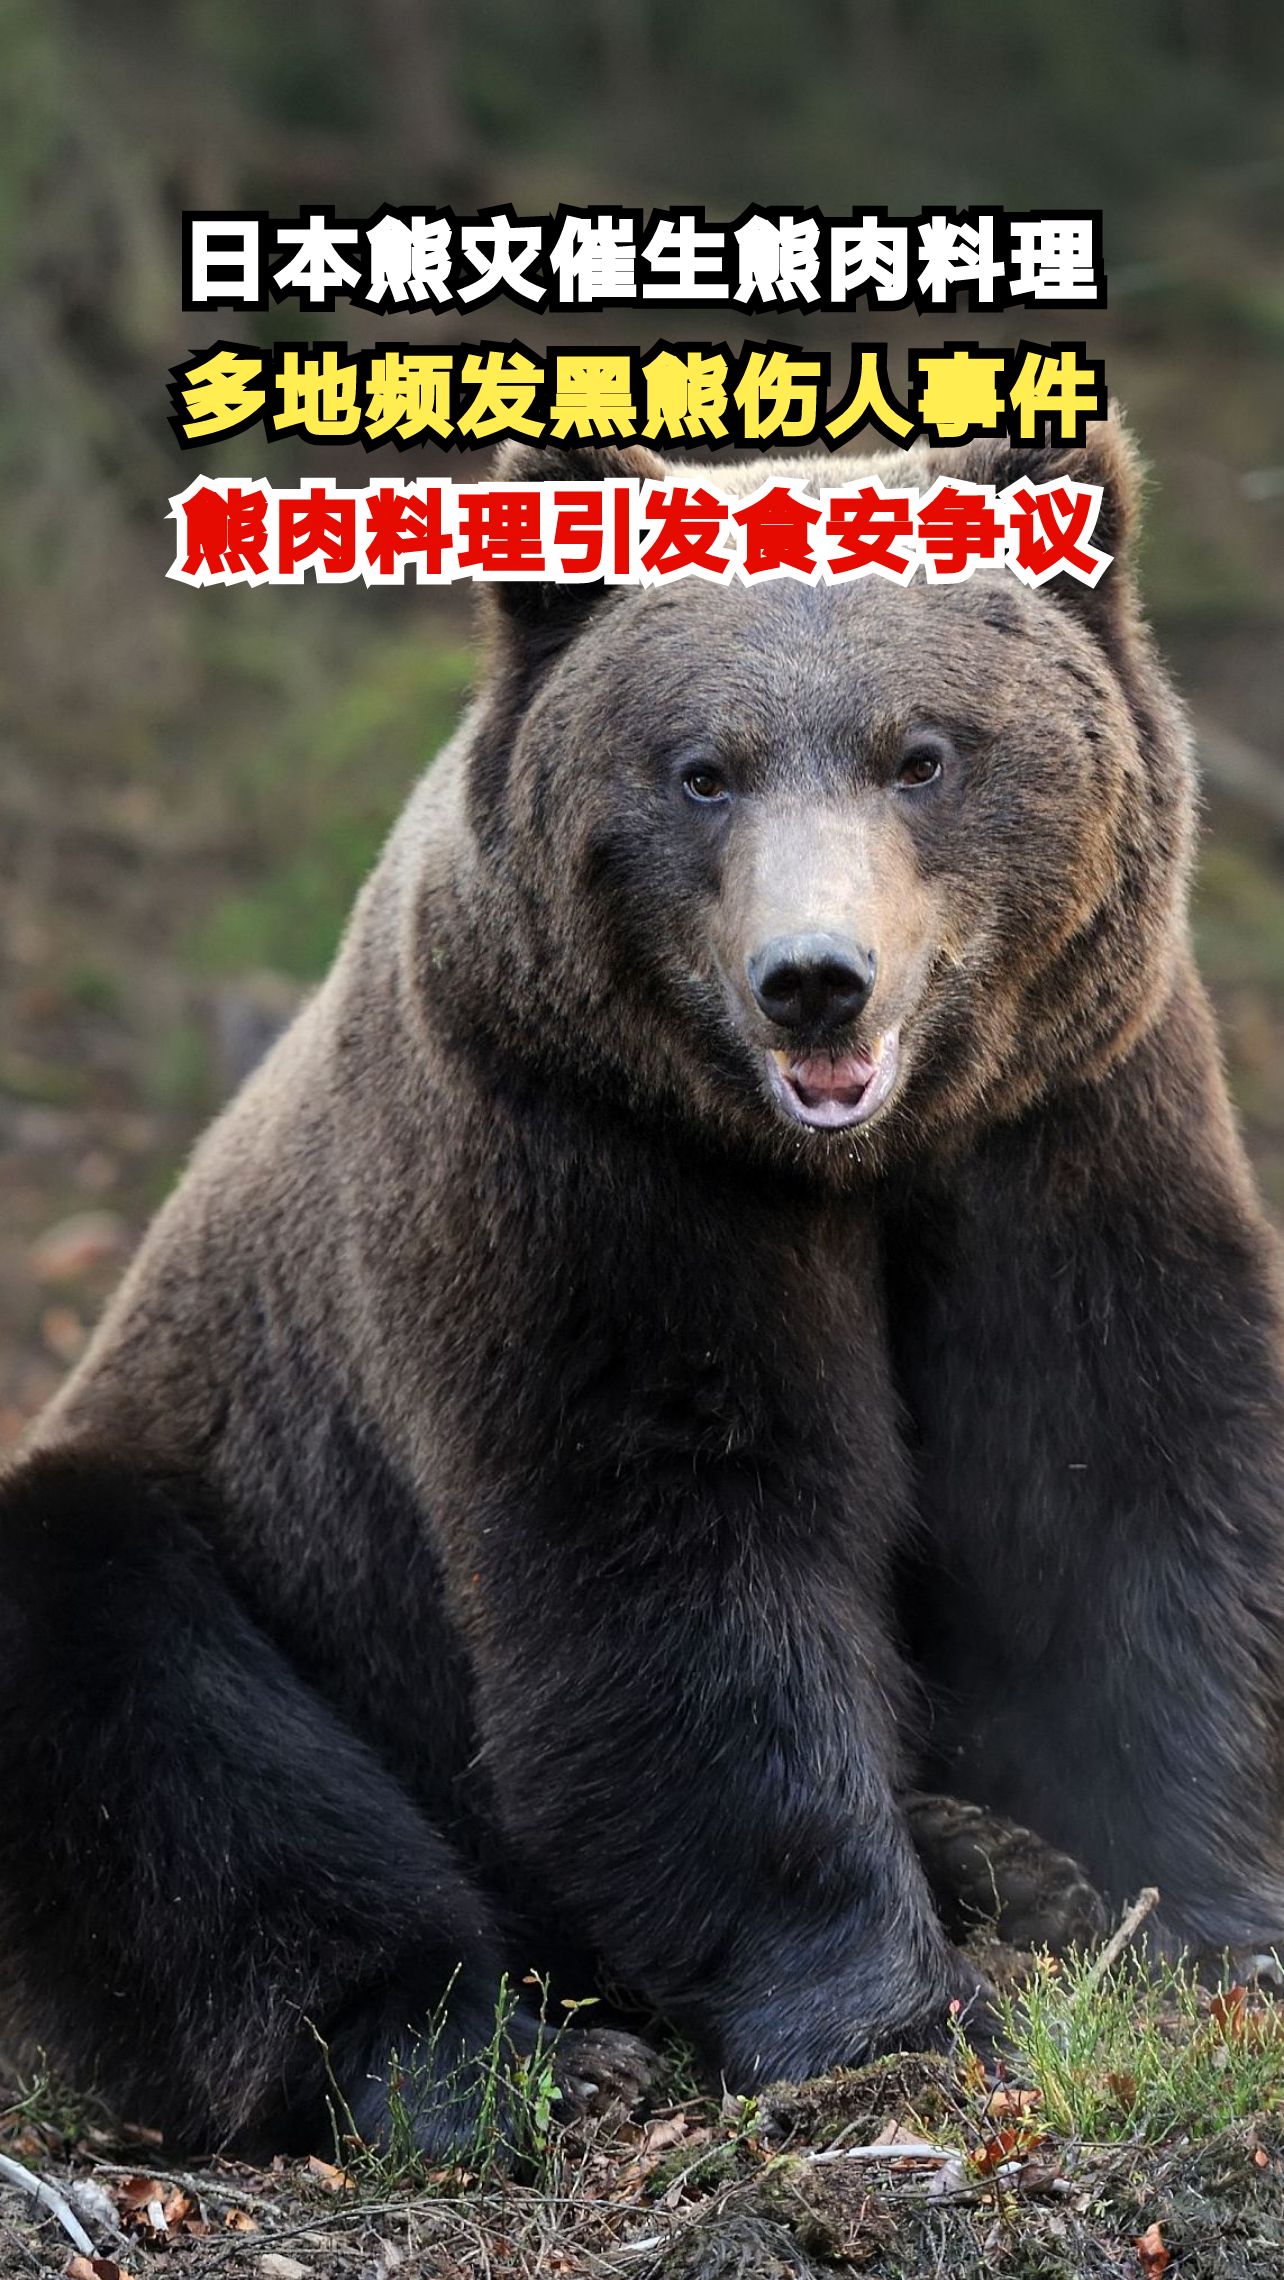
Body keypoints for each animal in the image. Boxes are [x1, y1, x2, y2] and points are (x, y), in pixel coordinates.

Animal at [0, 417, 1282, 2161]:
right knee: (177, 1750)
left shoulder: (1068, 1133)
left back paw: (999, 1858)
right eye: (701, 769)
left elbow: (1127, 1490)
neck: (847, 1167)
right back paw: (486, 2053)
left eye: (922, 755)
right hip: (218, 1509)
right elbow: (677, 1559)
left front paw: (1212, 1919)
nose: (815, 979)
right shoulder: (587, 1166)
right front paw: (887, 2012)